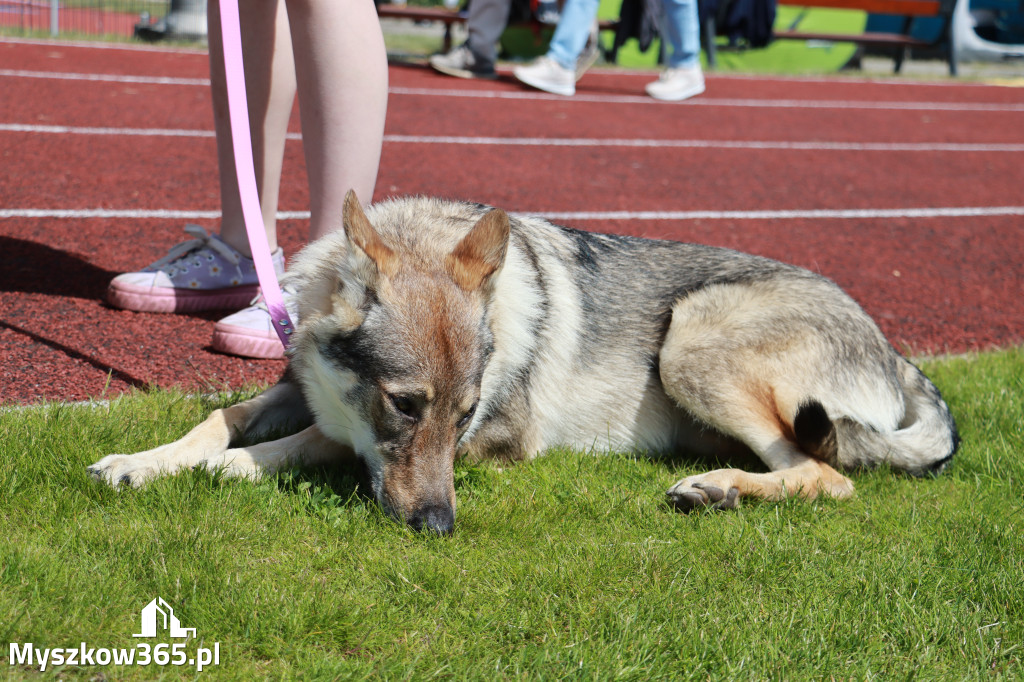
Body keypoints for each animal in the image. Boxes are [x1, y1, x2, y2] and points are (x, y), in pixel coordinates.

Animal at [90, 189, 958, 532]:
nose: (439, 527)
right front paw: (140, 462)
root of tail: (897, 353)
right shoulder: (297, 388)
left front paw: (218, 470)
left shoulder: (480, 441)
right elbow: (219, 418)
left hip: (691, 341)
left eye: (466, 414)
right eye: (406, 404)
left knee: (830, 476)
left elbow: (288, 450)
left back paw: (718, 490)